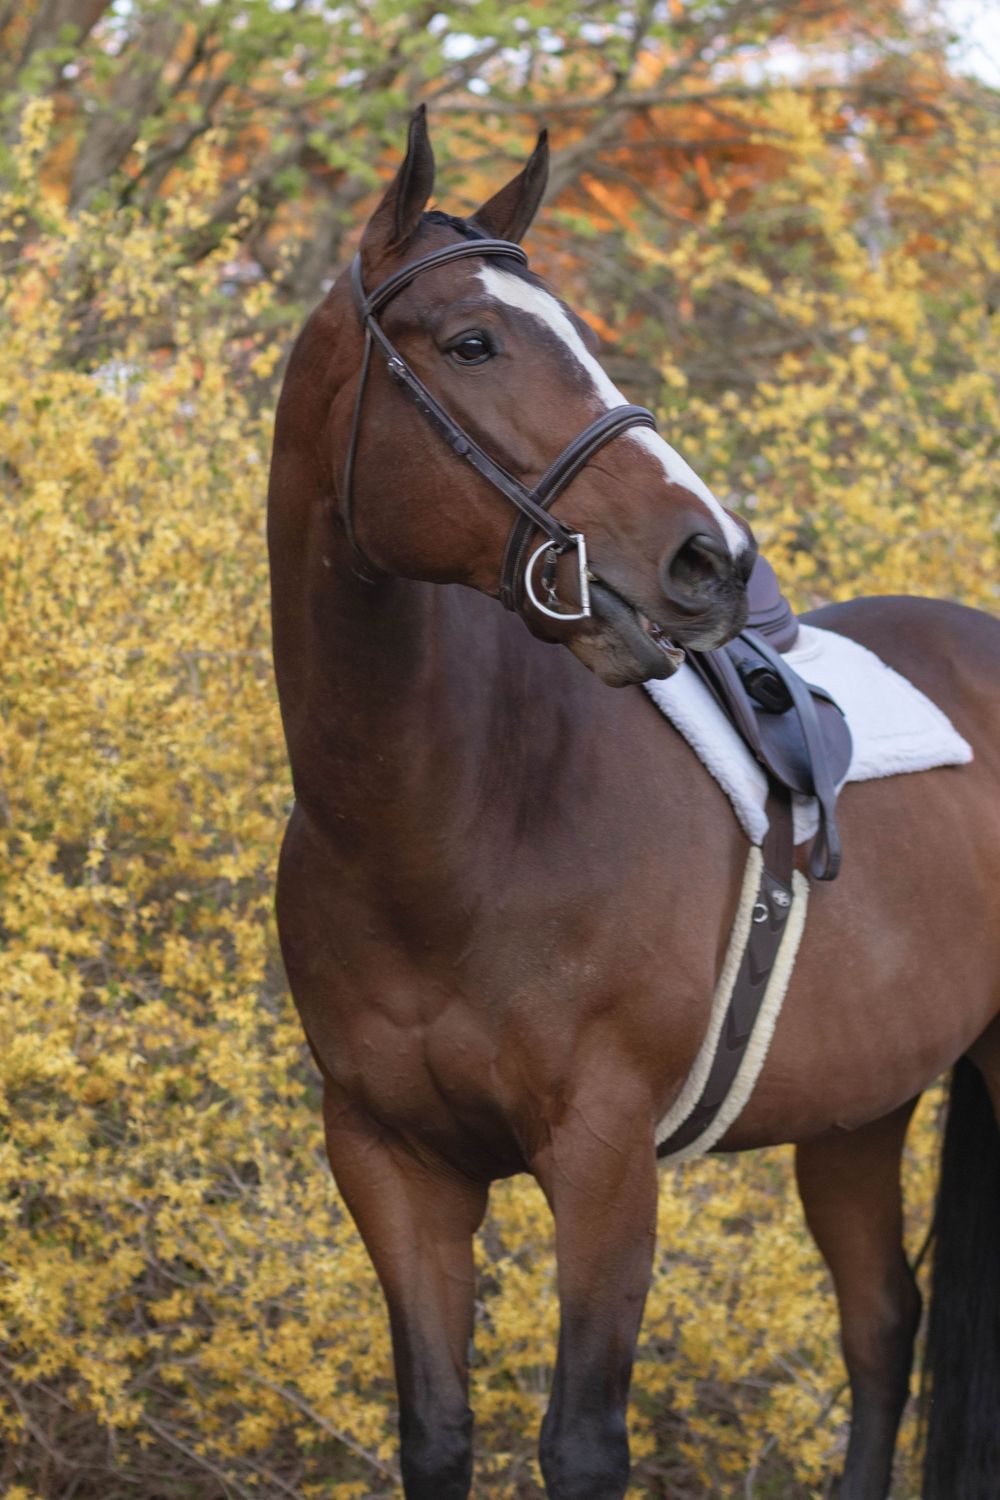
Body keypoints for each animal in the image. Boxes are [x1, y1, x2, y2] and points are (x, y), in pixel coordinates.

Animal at [267, 107, 1000, 1499]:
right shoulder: (389, 1161)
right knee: (881, 1325)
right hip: (861, 1112)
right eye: (473, 341)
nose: (711, 557)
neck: (454, 823)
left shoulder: (603, 1159)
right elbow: (436, 1432)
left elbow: (582, 1441)